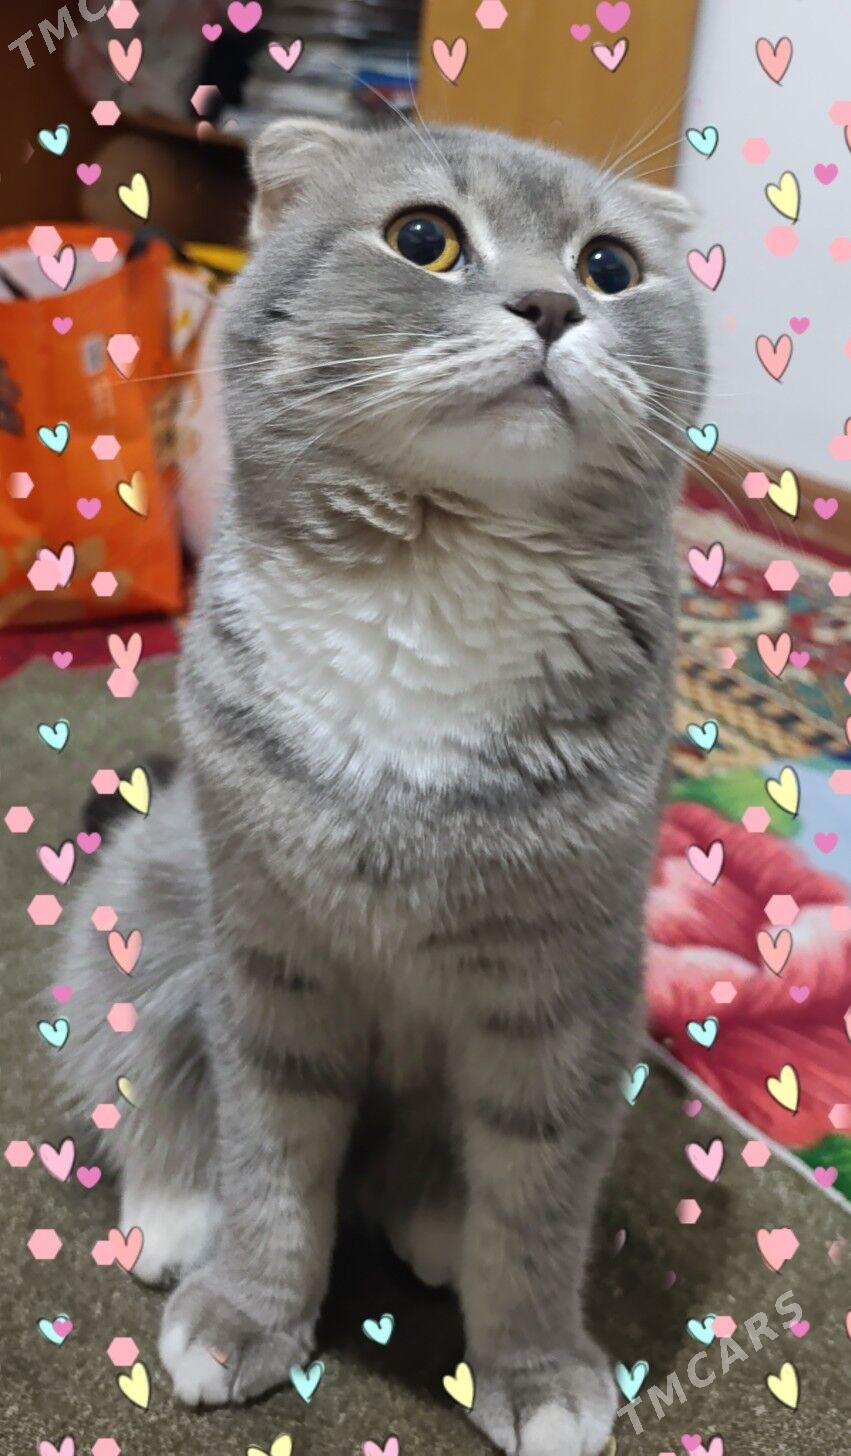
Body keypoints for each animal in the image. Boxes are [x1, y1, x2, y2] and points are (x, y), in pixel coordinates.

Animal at [59, 117, 705, 1455]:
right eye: (423, 238)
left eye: (610, 266)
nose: (554, 304)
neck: (441, 580)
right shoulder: (271, 953)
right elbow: (271, 1160)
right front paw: (246, 1310)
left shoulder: (562, 986)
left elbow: (536, 1204)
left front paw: (534, 1366)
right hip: (149, 900)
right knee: (147, 1076)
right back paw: (173, 1209)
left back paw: (433, 1213)